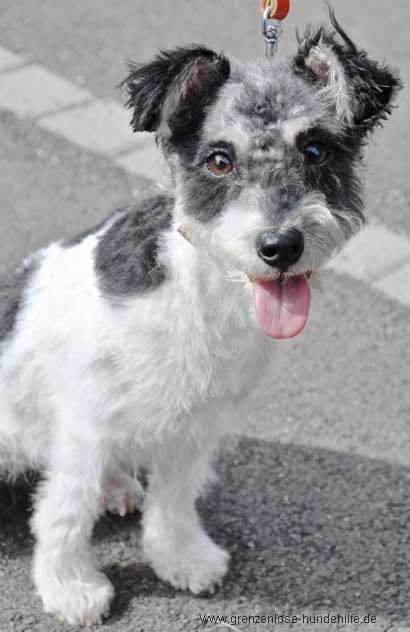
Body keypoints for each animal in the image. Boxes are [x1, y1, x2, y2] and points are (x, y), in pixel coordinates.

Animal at [0, 13, 401, 625]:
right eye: (219, 160)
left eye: (316, 149)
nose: (280, 246)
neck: (201, 294)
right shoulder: (85, 425)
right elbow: (65, 511)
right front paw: (71, 586)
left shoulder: (194, 425)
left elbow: (174, 499)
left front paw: (182, 557)